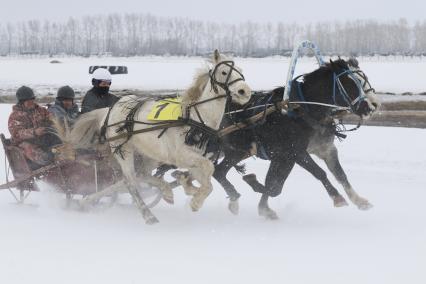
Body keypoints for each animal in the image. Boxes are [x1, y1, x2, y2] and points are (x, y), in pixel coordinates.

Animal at [68, 50, 251, 224]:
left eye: (241, 70)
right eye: (224, 72)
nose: (245, 91)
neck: (195, 118)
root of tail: (110, 109)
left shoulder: (195, 159)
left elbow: (206, 179)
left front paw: (189, 188)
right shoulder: (182, 156)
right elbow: (209, 170)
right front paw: (195, 200)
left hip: (151, 155)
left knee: (141, 175)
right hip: (124, 150)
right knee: (130, 181)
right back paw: (148, 215)